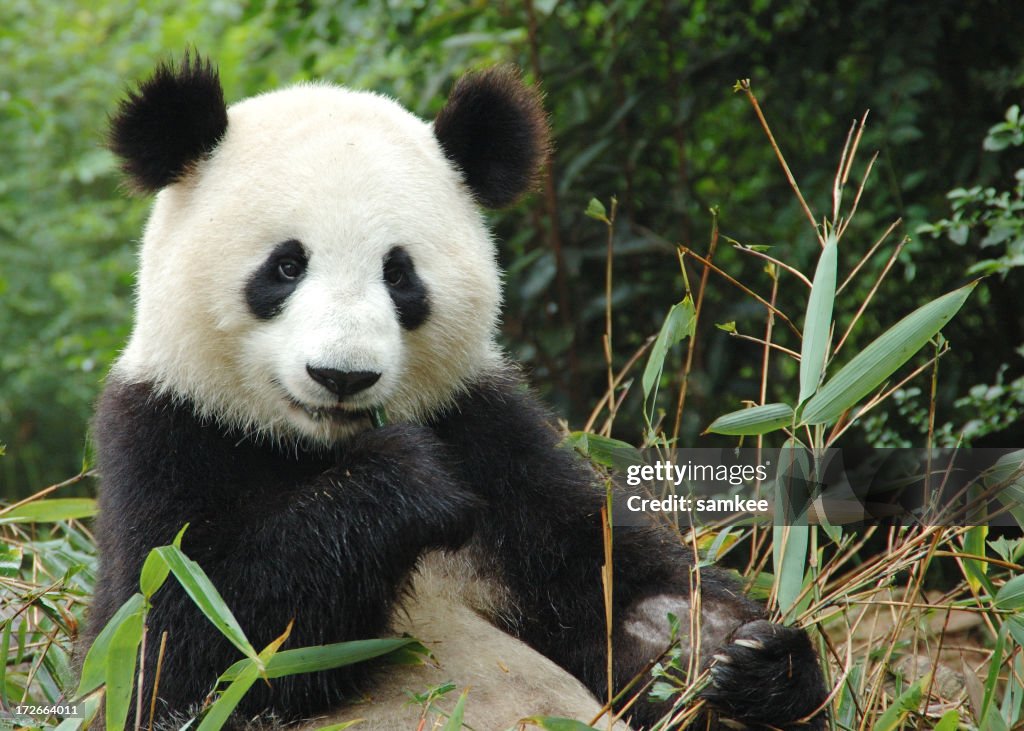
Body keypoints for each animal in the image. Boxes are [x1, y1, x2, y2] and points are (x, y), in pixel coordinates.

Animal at [83, 52, 827, 728]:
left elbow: (628, 599)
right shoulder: (165, 435)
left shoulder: (492, 439)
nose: (343, 376)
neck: (316, 448)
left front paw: (747, 661)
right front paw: (406, 483)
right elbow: (185, 651)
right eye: (286, 265)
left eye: (399, 274)